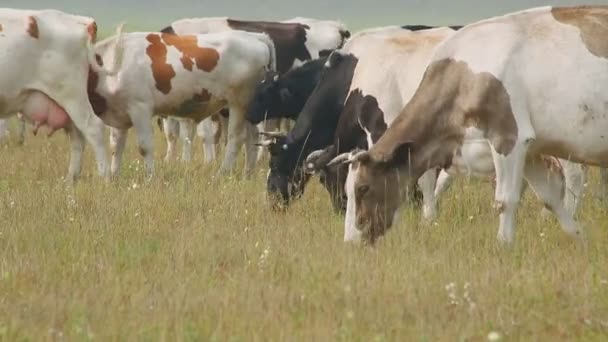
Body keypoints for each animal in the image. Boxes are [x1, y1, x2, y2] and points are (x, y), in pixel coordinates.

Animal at [0, 8, 118, 182]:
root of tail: (83, 21)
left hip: (71, 95)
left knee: (93, 128)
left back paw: (105, 178)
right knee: (77, 137)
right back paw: (70, 180)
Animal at [89, 30, 276, 176]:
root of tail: (257, 37)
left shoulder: (139, 107)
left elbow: (144, 146)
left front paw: (150, 177)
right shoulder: (119, 110)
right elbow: (116, 146)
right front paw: (114, 176)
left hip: (239, 103)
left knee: (237, 137)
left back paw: (222, 172)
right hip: (250, 109)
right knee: (252, 137)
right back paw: (247, 173)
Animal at [342, 6, 608, 246]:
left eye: (363, 188)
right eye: (347, 190)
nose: (350, 241)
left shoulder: (509, 139)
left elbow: (506, 200)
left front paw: (504, 246)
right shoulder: (531, 151)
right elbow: (550, 198)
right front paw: (581, 240)